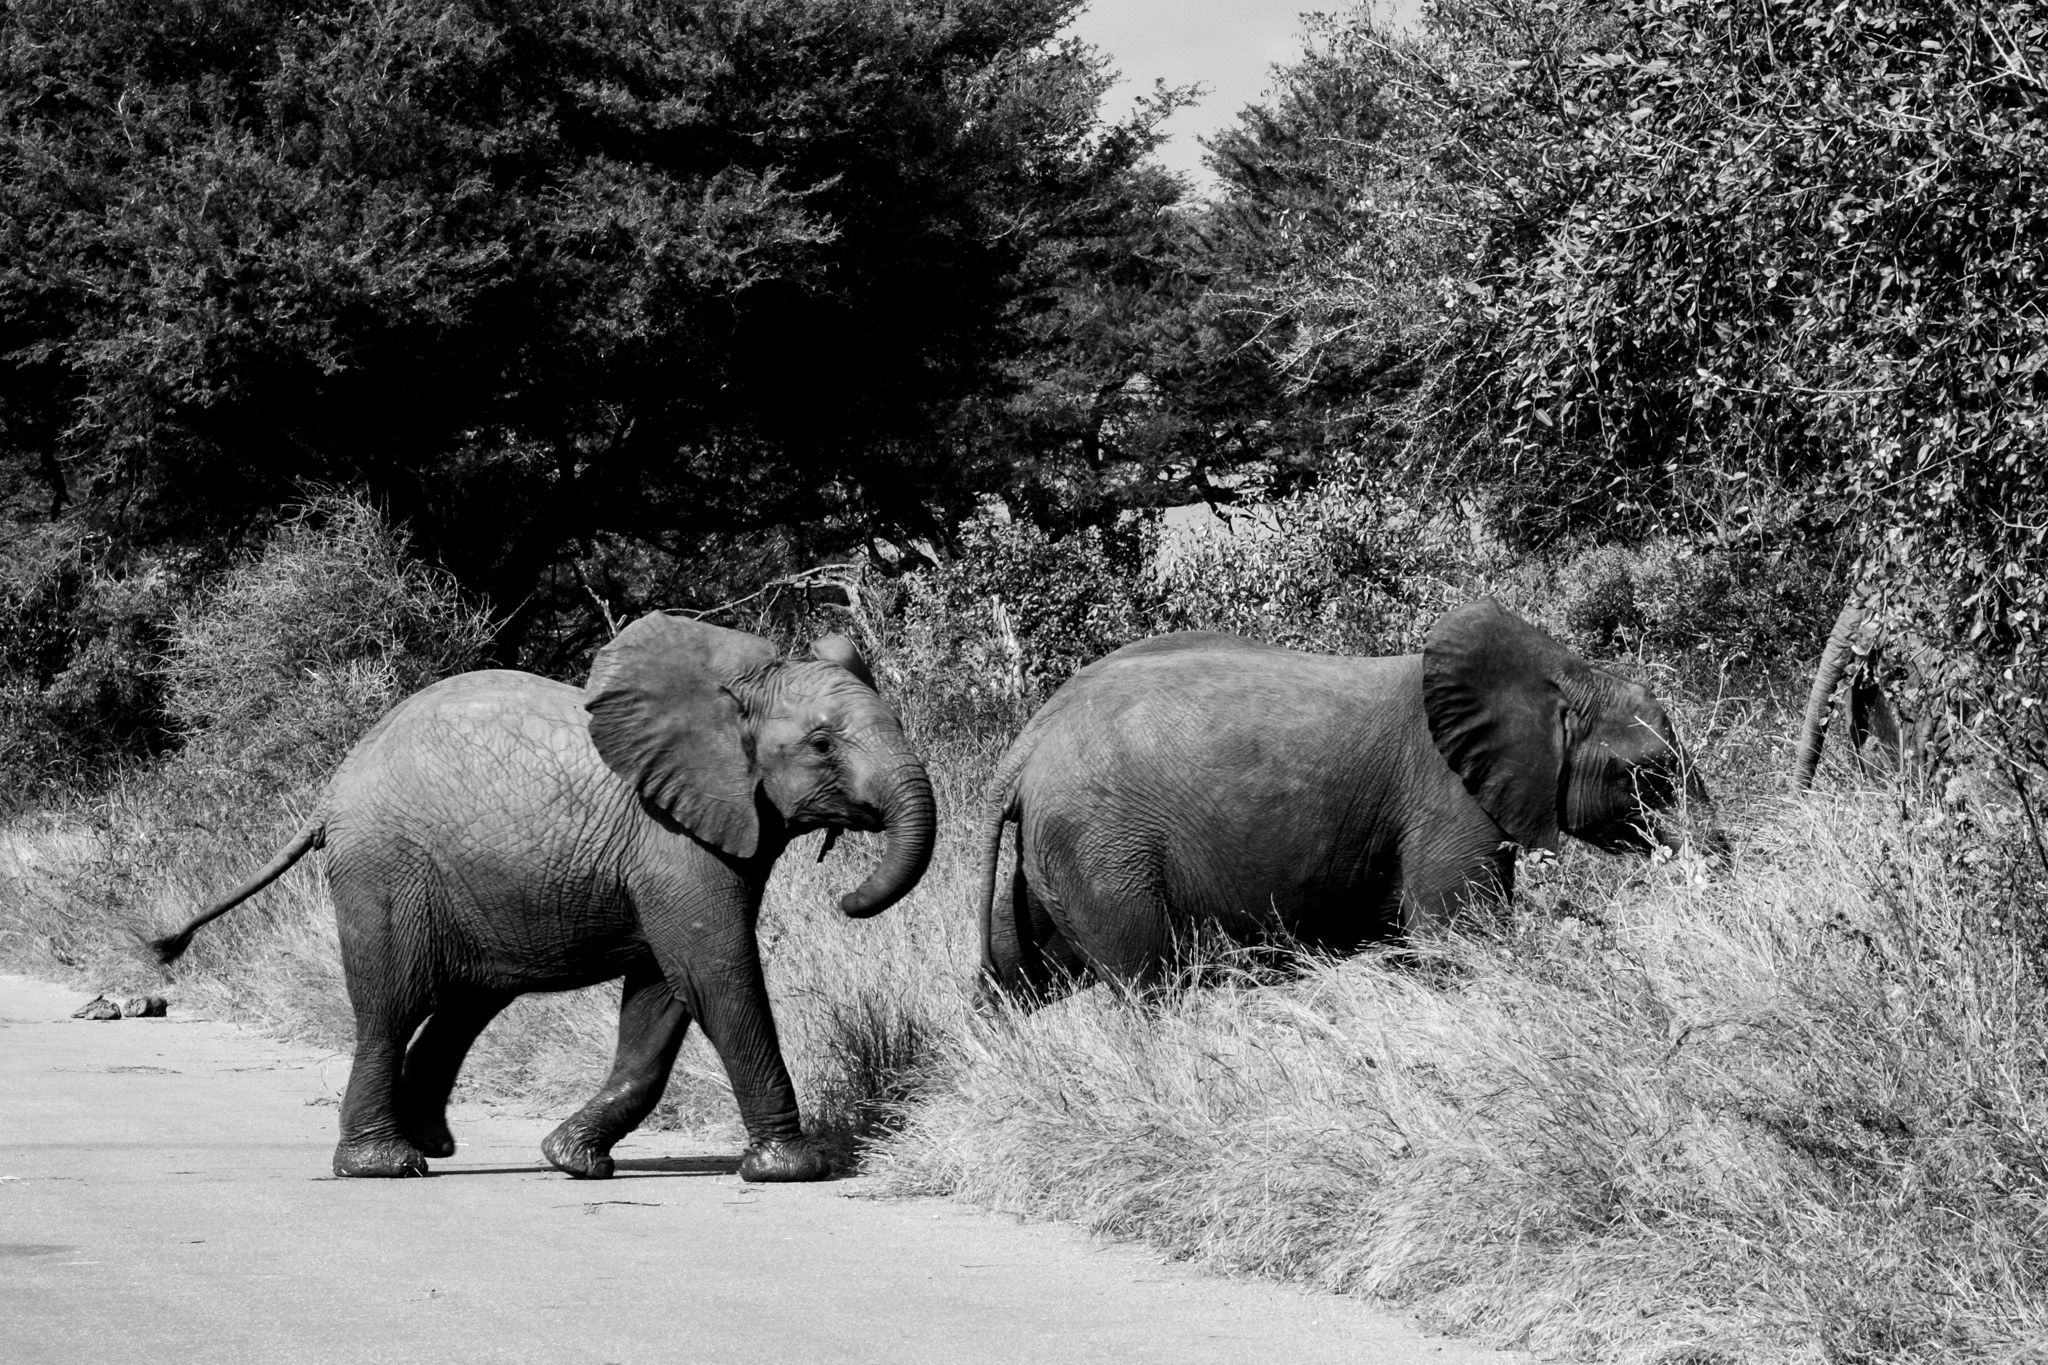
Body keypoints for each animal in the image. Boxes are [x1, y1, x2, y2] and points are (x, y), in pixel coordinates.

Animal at [150, 611, 935, 1183]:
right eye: (823, 745)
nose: (846, 900)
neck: (733, 691)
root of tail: (330, 792)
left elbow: (663, 997)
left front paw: (573, 1159)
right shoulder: (673, 840)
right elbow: (717, 974)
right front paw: (793, 1168)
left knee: (464, 1005)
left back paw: (431, 1145)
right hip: (384, 867)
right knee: (392, 1003)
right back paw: (385, 1164)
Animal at [973, 598, 1716, 1001]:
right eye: (1651, 773)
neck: (1558, 671)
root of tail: (1027, 744)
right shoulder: (1445, 797)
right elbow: (1457, 935)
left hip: (1052, 854)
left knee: (1014, 967)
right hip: (1103, 850)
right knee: (1149, 985)